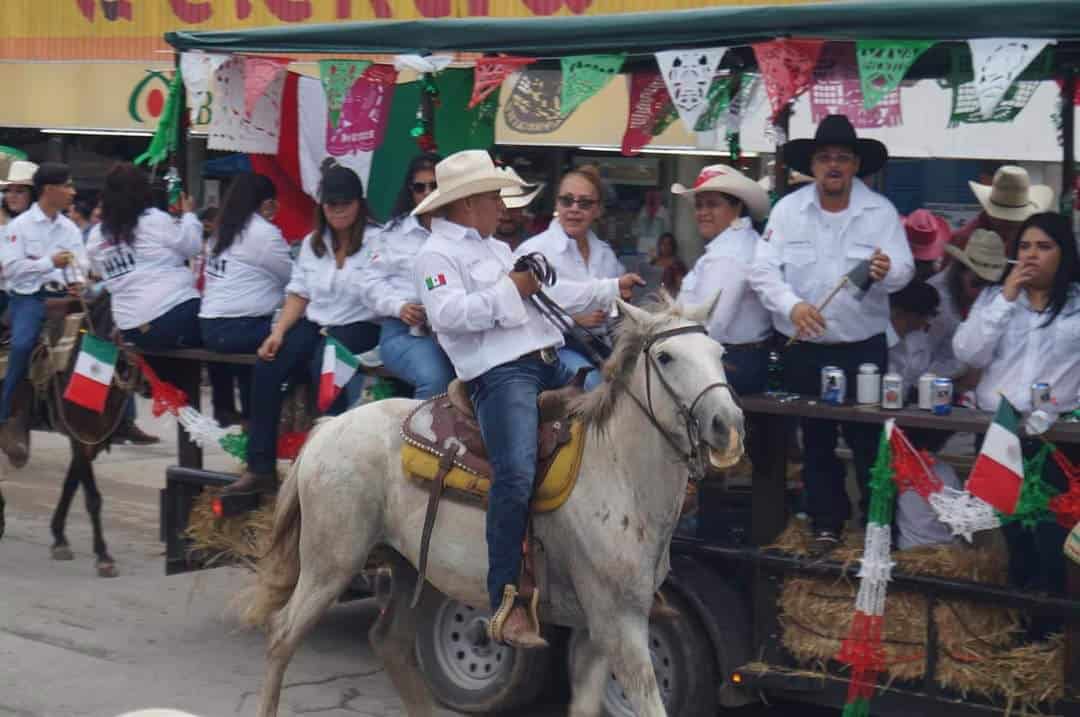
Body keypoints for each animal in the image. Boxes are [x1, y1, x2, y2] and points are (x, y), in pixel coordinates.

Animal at [0, 295, 133, 578]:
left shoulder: (91, 439)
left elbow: (71, 486)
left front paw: (59, 538)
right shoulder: (80, 435)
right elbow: (92, 497)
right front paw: (103, 556)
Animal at [240, 295, 747, 717]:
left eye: (719, 353)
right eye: (666, 357)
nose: (728, 425)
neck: (617, 471)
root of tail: (328, 428)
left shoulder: (594, 631)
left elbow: (585, 705)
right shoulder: (620, 624)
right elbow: (648, 700)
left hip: (407, 567)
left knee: (389, 643)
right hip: (329, 563)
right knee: (282, 634)